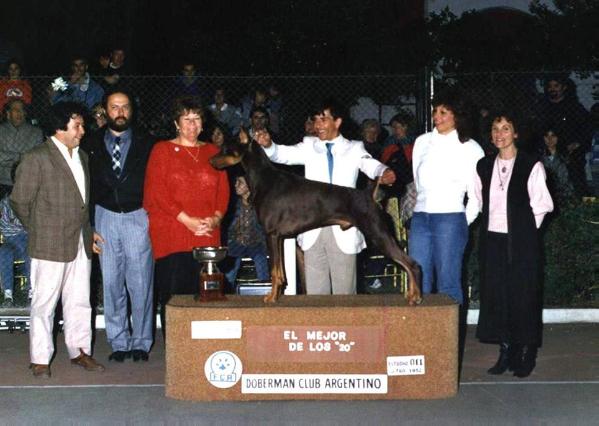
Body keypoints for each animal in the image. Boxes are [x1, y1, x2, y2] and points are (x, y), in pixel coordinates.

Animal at [211, 135, 422, 304]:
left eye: (226, 149)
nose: (210, 160)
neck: (264, 178)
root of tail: (368, 195)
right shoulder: (279, 237)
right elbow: (280, 273)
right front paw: (277, 294)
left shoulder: (270, 234)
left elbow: (274, 271)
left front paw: (270, 297)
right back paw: (412, 294)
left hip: (378, 234)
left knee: (411, 264)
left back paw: (416, 296)